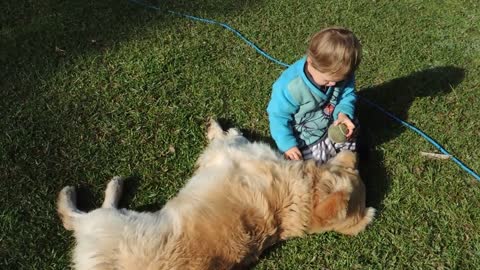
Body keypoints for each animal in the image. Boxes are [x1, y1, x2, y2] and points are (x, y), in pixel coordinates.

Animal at [58, 120, 376, 270]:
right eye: (354, 171)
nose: (357, 153)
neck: (299, 200)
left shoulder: (235, 150)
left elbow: (229, 136)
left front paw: (218, 127)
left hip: (110, 221)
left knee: (73, 216)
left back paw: (97, 188)